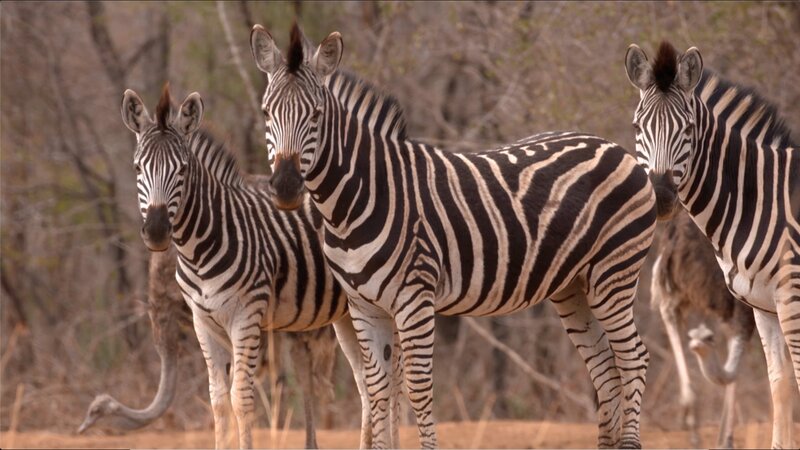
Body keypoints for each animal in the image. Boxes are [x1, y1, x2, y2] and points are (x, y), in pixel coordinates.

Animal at [119, 85, 375, 449]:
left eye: (182, 170)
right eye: (138, 168)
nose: (156, 231)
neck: (200, 249)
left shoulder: (247, 317)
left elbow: (241, 398)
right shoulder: (203, 322)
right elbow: (218, 401)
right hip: (346, 314)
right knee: (368, 384)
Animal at [250, 23, 657, 449]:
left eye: (316, 115)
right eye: (266, 112)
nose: (285, 187)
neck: (355, 202)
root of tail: (614, 147)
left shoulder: (415, 298)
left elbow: (417, 388)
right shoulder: (364, 306)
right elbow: (377, 390)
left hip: (613, 274)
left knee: (633, 358)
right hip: (573, 287)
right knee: (605, 368)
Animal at [624, 41, 800, 449]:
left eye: (688, 129)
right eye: (638, 127)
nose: (662, 197)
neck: (765, 202)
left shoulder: (790, 297)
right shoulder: (765, 306)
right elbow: (781, 384)